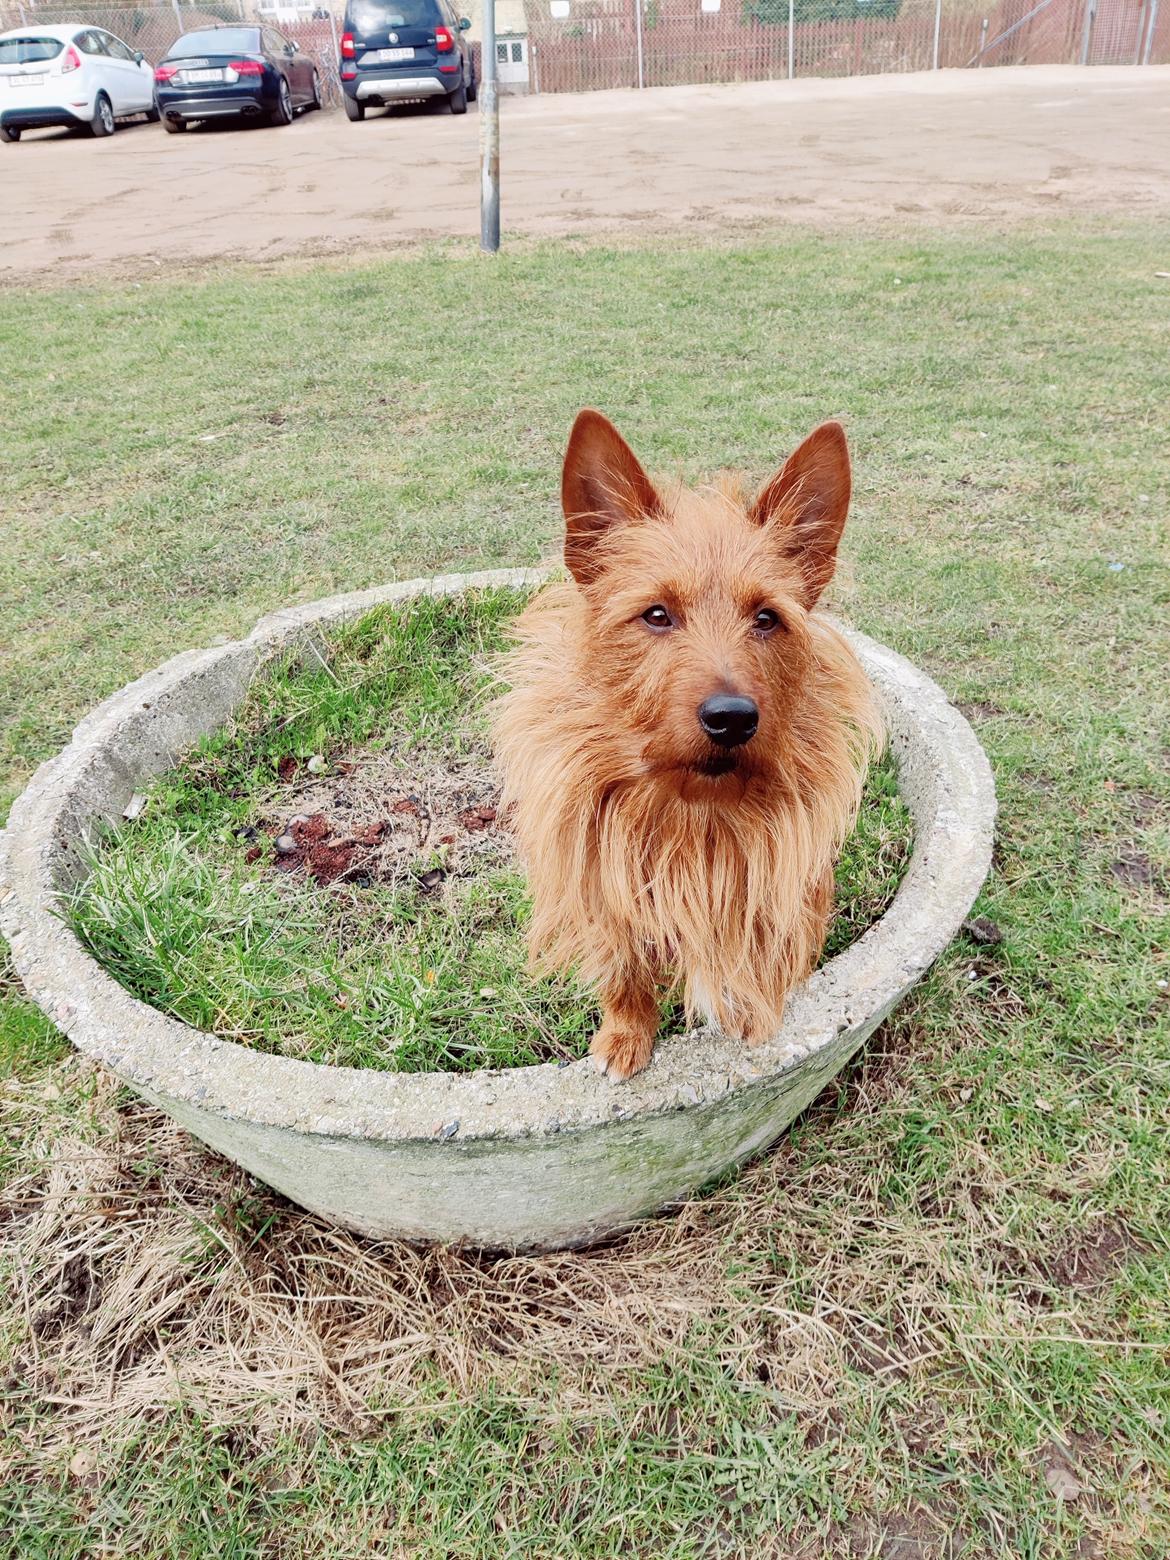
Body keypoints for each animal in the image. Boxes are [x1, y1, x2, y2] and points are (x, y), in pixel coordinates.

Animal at [489, 408, 886, 1079]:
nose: (731, 718)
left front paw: (752, 1016)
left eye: (766, 618)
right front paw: (626, 1036)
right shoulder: (602, 887)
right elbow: (622, 969)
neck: (692, 810)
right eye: (656, 614)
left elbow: (763, 955)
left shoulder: (778, 889)